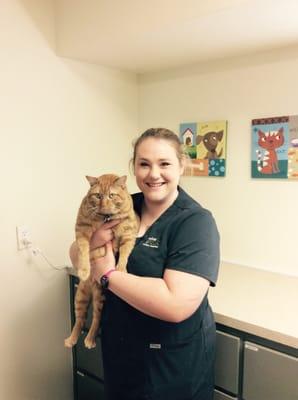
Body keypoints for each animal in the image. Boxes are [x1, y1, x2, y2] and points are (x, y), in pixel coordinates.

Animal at [64, 173, 139, 348]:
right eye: (98, 196)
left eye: (111, 195)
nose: (103, 205)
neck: (105, 218)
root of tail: (93, 286)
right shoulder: (81, 231)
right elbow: (83, 251)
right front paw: (84, 269)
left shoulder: (128, 234)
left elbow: (124, 253)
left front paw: (120, 268)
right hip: (80, 296)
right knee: (80, 321)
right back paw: (72, 339)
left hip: (100, 298)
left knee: (96, 319)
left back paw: (90, 339)